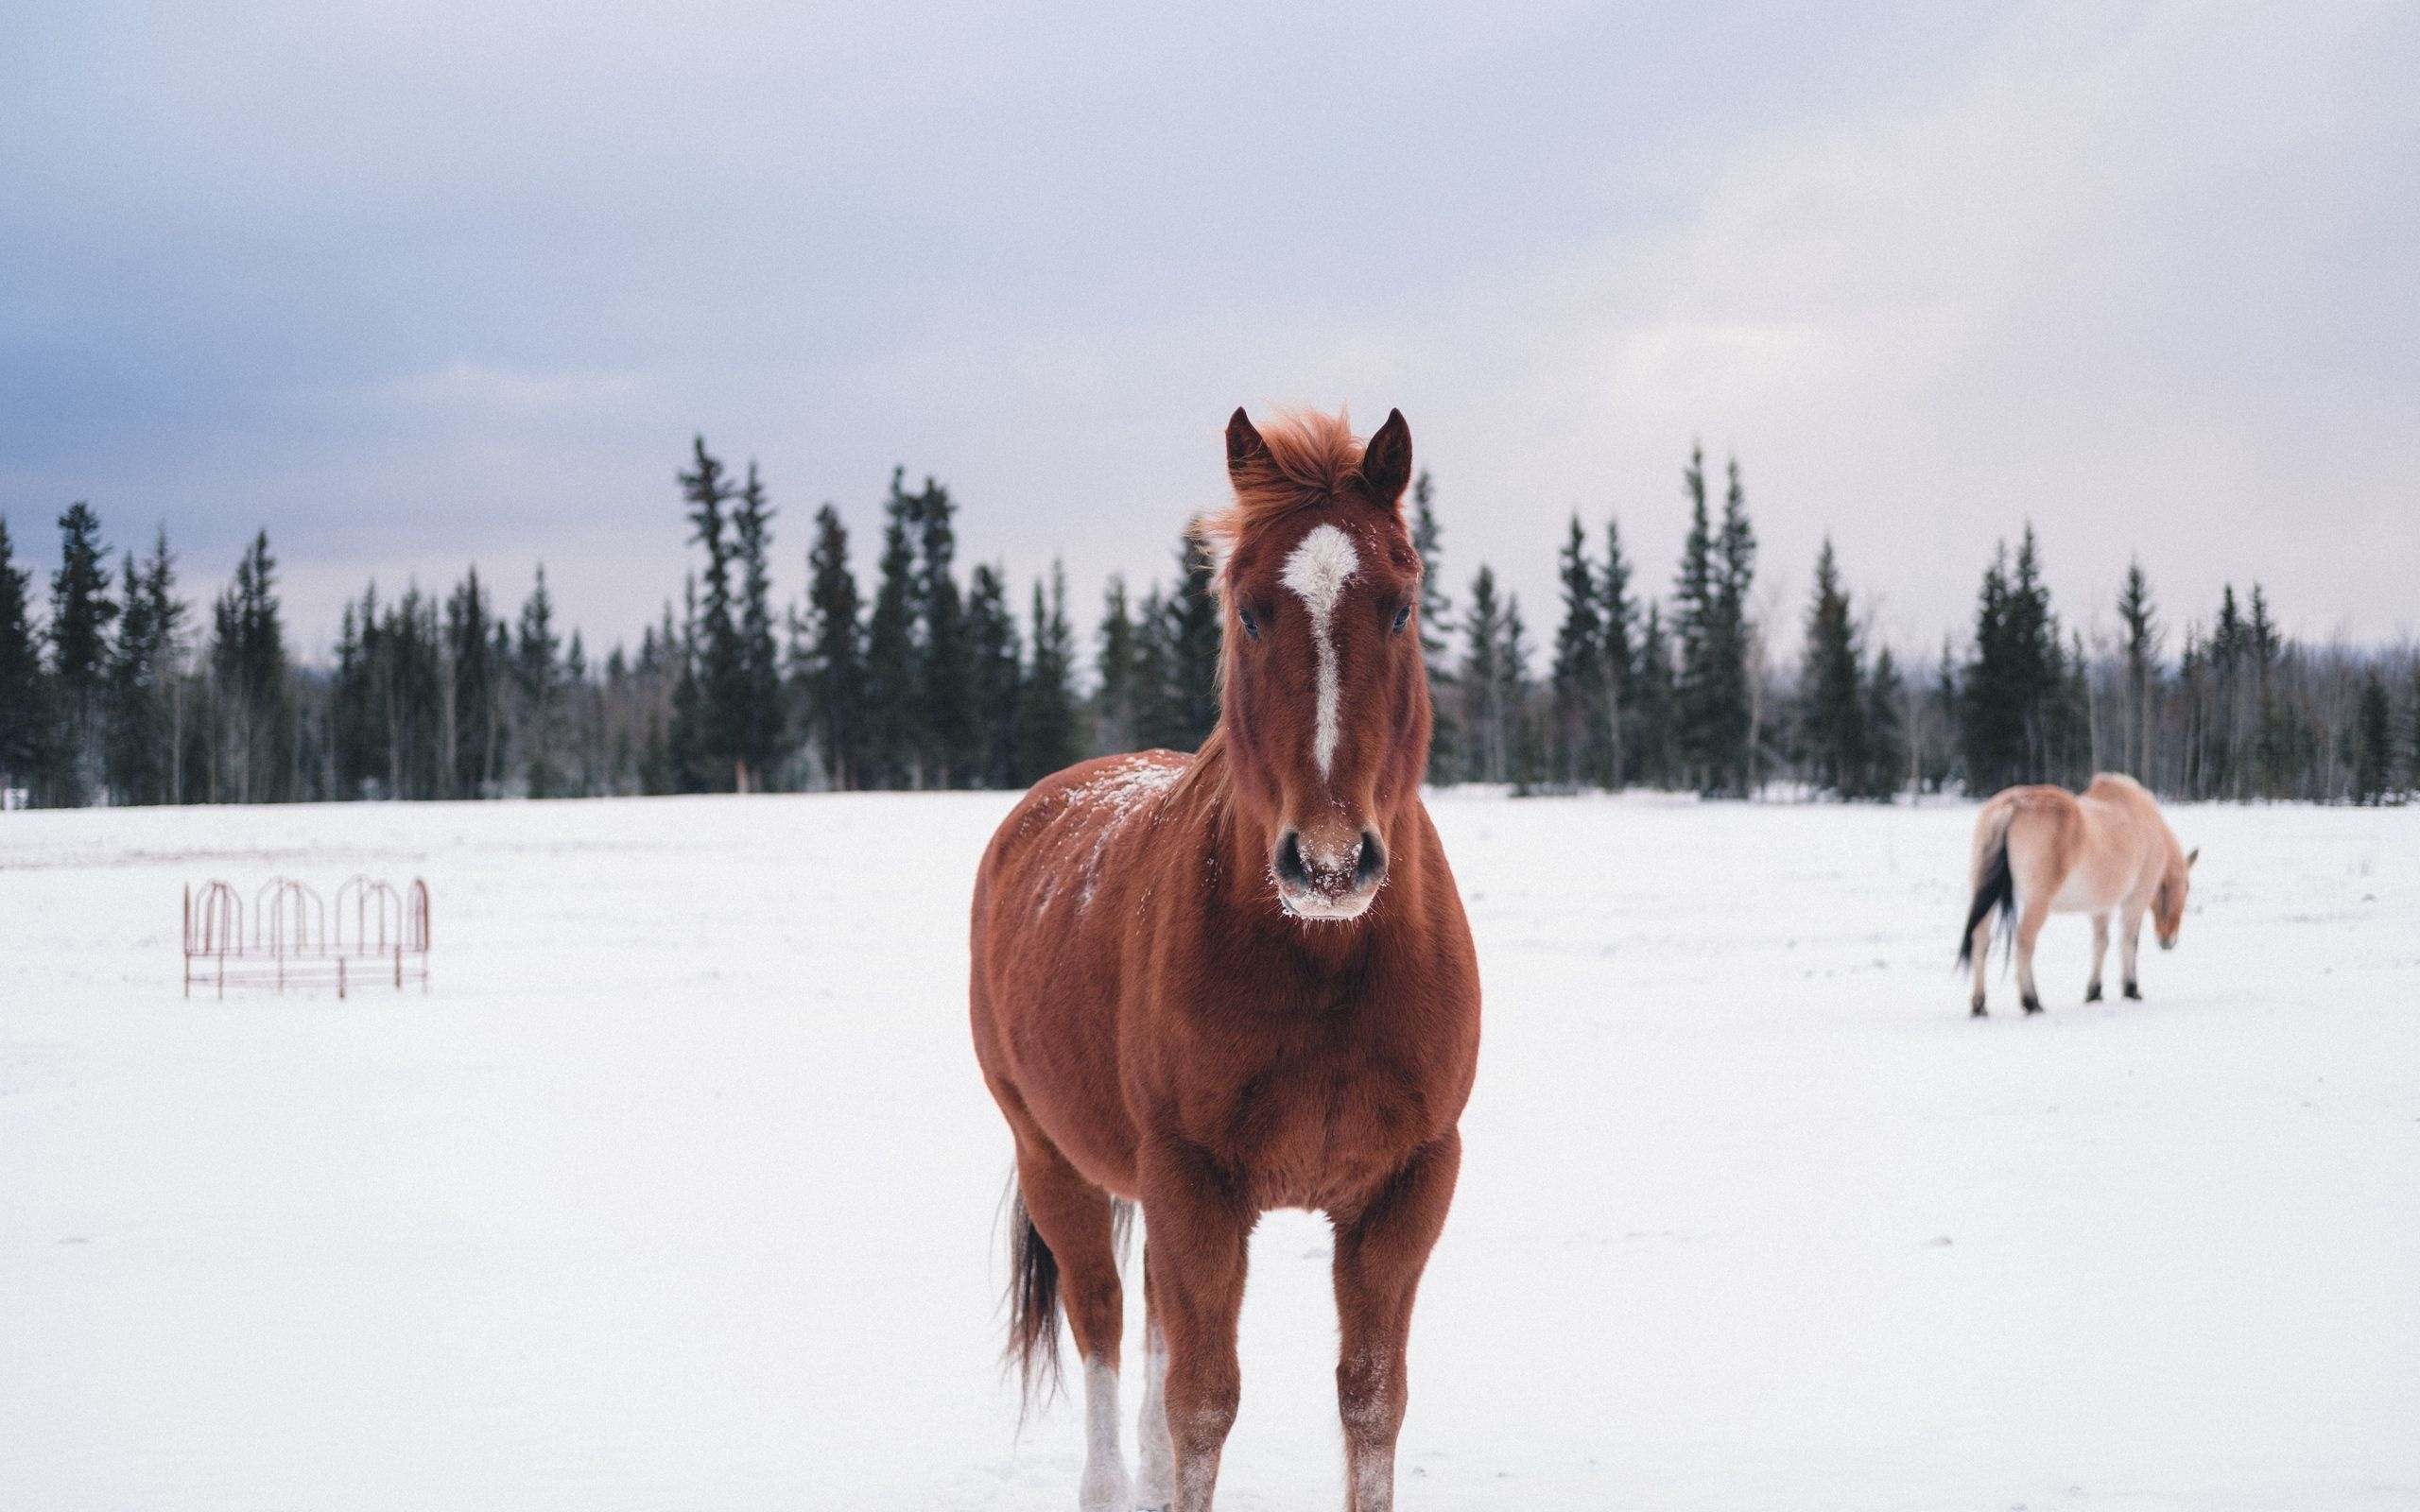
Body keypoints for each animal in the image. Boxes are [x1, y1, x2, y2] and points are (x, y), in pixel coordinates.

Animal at [973, 406, 1480, 1500]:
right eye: (1248, 611)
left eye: (1403, 606)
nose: (1328, 861)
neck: (1324, 965)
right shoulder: (1193, 1184)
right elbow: (1203, 1405)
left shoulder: (1407, 1188)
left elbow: (1371, 1403)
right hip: (1056, 1162)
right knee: (1106, 1325)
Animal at [1964, 779, 2197, 1016]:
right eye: (2186, 887)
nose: (2168, 941)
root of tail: (2012, 805)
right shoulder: (2135, 902)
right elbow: (2129, 942)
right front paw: (2131, 990)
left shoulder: (2101, 907)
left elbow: (2101, 943)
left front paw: (2095, 992)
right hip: (2037, 903)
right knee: (2024, 941)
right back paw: (2032, 1001)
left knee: (1980, 939)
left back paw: (1979, 1005)